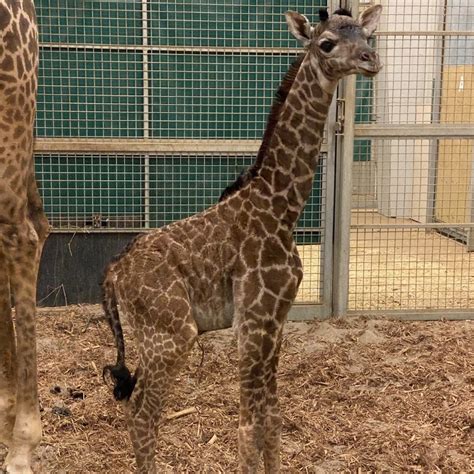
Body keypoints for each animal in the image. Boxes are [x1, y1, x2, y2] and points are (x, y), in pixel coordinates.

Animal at [103, 5, 382, 472]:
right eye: (326, 43)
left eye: (367, 36)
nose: (370, 60)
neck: (281, 210)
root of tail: (112, 274)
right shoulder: (252, 321)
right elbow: (248, 428)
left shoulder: (276, 320)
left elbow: (272, 416)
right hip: (173, 334)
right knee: (142, 413)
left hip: (150, 337)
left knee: (137, 410)